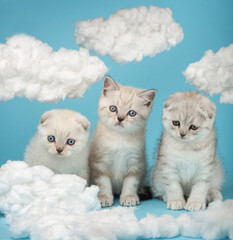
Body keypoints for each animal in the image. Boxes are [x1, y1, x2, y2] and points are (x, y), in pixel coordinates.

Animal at [89, 76, 157, 207]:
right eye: (113, 108)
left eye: (132, 113)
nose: (120, 119)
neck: (120, 138)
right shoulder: (100, 163)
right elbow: (103, 183)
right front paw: (104, 197)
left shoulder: (135, 163)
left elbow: (130, 183)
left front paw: (128, 197)